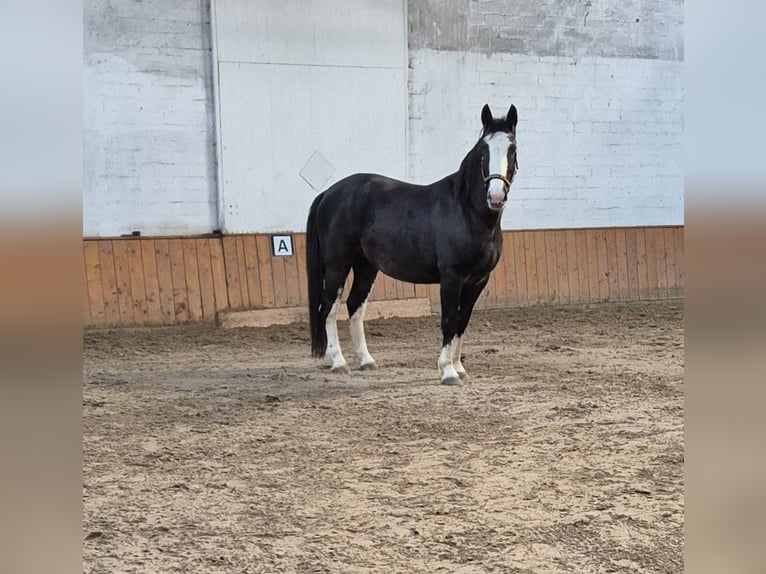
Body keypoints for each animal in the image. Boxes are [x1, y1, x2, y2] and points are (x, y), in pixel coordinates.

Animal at [308, 103, 520, 388]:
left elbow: (462, 321)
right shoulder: (452, 277)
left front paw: (459, 367)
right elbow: (449, 320)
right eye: (484, 151)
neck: (467, 211)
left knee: (355, 306)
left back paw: (366, 360)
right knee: (329, 308)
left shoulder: (478, 280)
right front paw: (448, 372)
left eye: (512, 149)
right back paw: (339, 363)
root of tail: (329, 193)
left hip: (366, 266)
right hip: (336, 265)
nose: (496, 197)